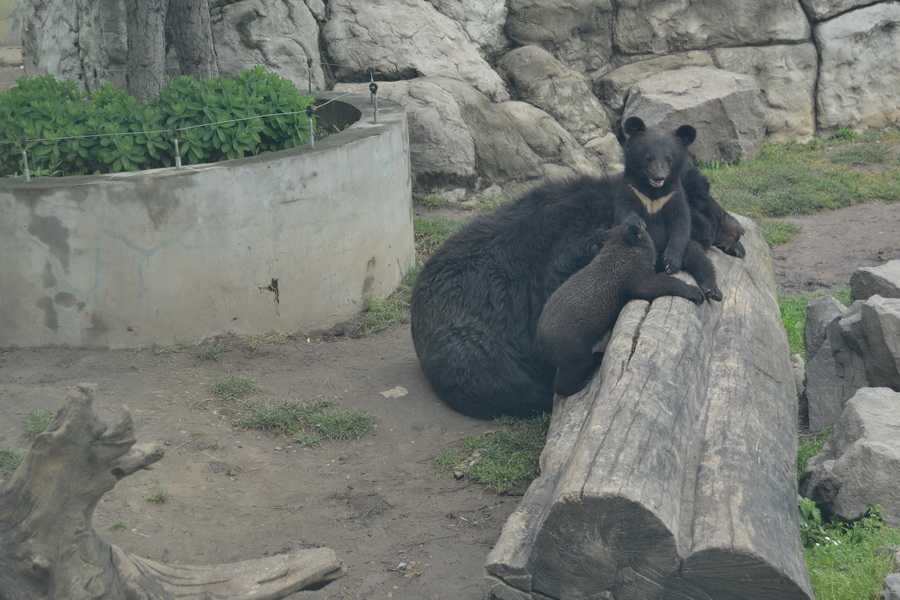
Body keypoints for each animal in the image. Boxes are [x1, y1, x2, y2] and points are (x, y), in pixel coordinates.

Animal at [536, 216, 708, 398]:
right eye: (640, 226)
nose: (640, 220)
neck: (621, 249)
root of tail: (541, 344)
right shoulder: (642, 283)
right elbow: (669, 283)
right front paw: (694, 292)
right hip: (576, 359)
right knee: (563, 387)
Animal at [620, 116, 724, 302]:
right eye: (648, 158)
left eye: (669, 159)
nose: (659, 177)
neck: (653, 192)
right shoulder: (631, 190)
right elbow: (625, 212)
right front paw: (637, 223)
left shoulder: (673, 195)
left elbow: (681, 223)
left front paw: (671, 263)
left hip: (689, 249)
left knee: (699, 258)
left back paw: (712, 290)